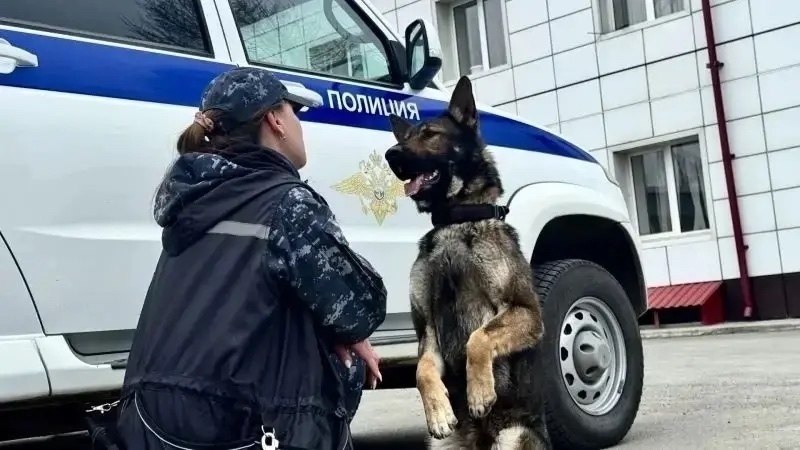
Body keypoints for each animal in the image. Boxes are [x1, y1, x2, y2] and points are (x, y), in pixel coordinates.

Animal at [383, 76, 550, 450]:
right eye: (405, 137)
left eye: (430, 134)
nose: (391, 154)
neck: (455, 221)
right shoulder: (427, 330)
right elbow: (422, 370)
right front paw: (439, 412)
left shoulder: (526, 312)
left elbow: (478, 337)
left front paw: (478, 391)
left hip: (514, 437)